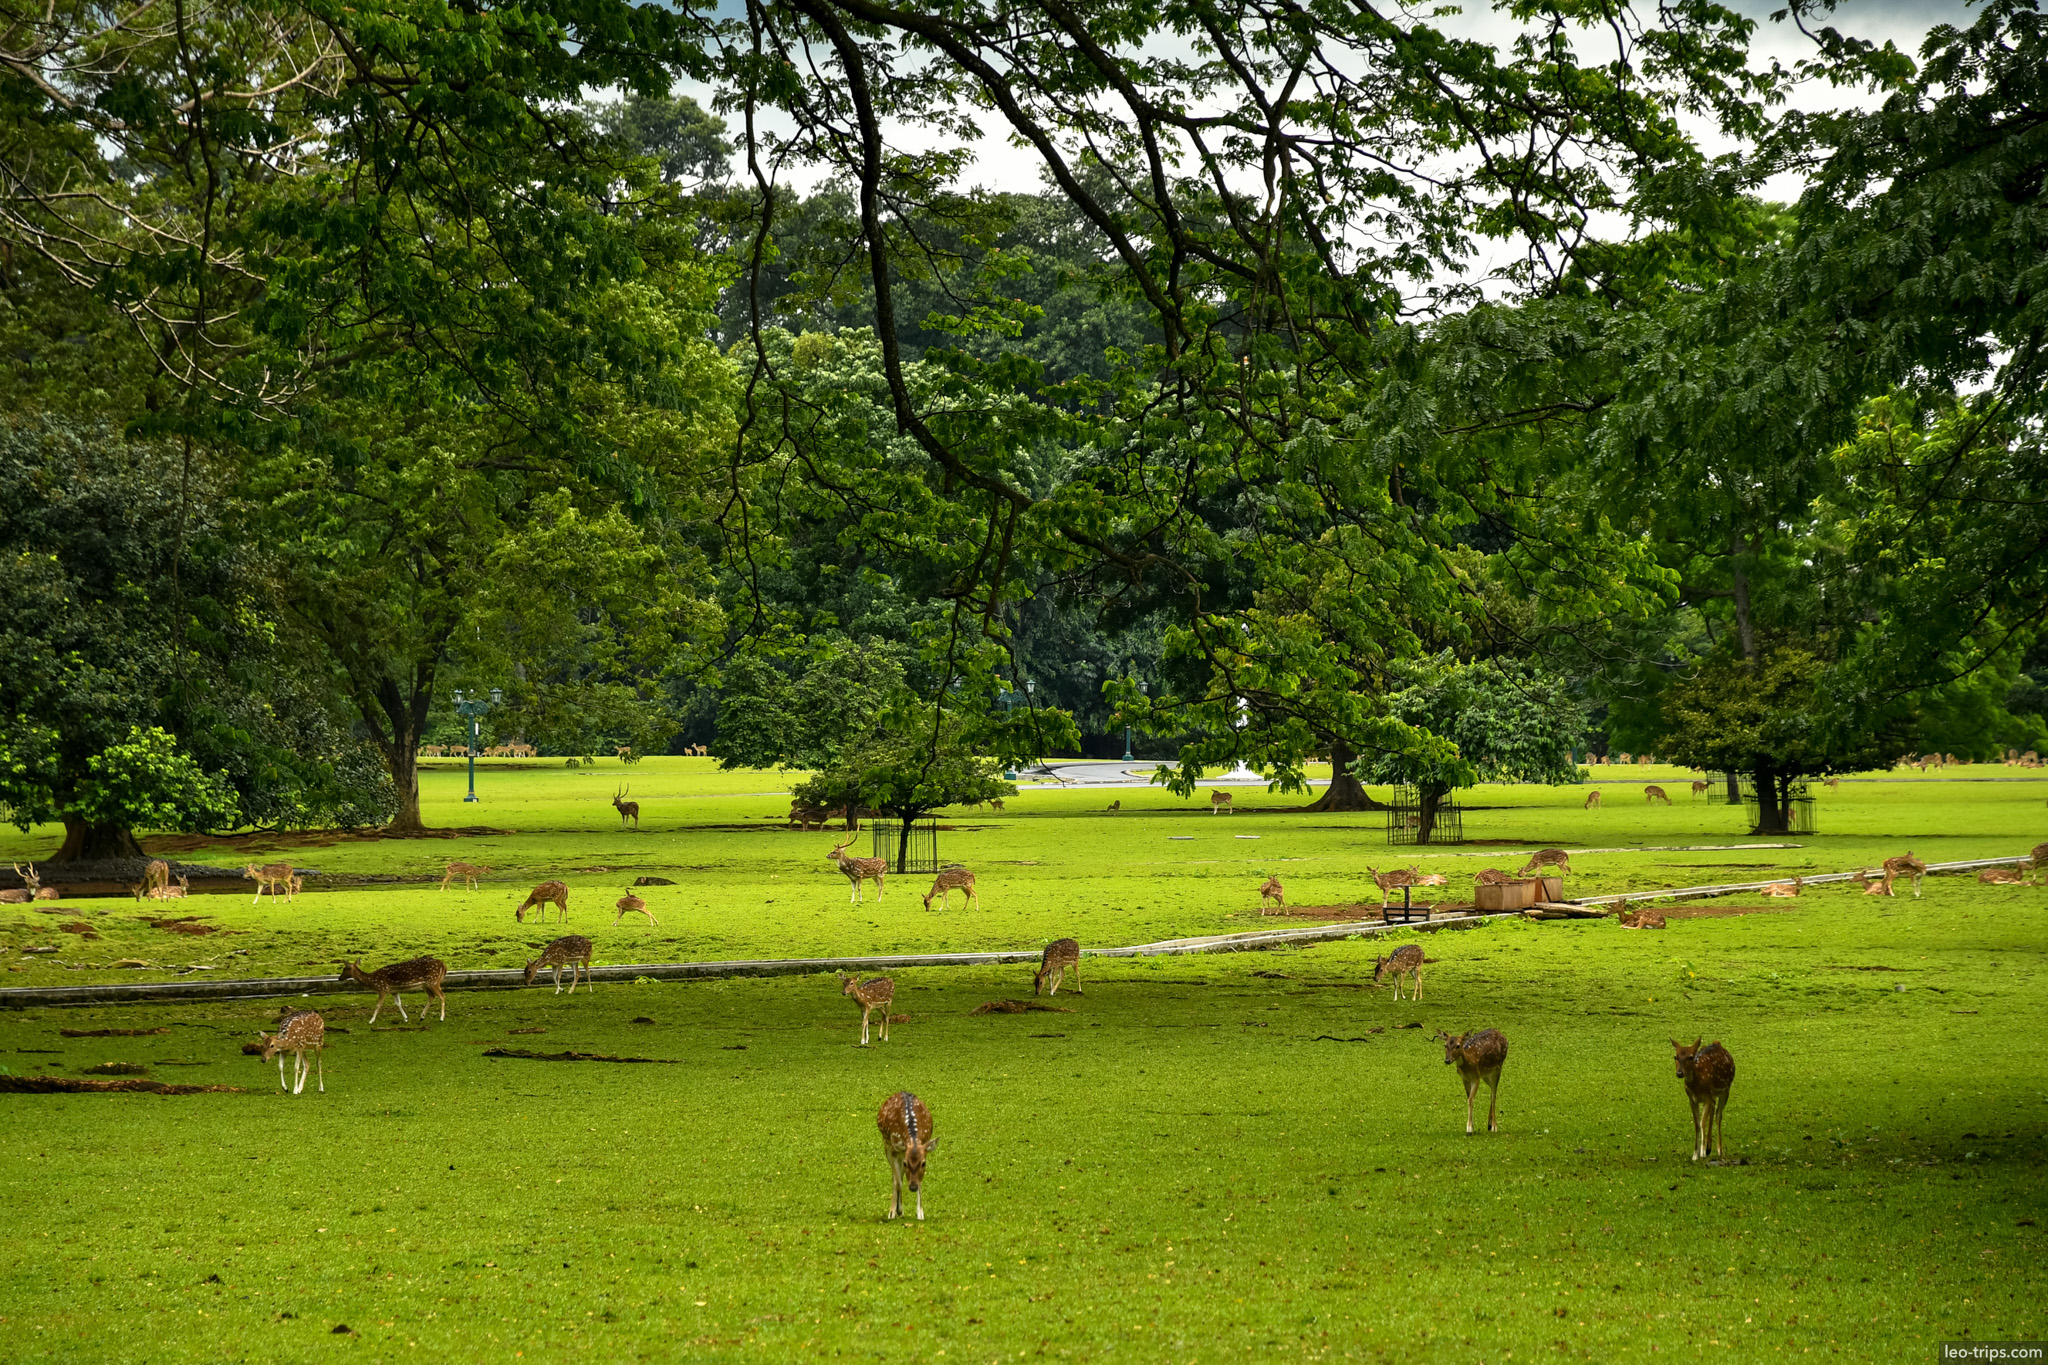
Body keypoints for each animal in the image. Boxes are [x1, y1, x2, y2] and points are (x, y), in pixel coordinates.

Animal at [877, 1091, 937, 1221]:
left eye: (923, 1163)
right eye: (906, 1163)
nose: (913, 1187)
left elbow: (918, 1180)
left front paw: (920, 1213)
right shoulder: (892, 1150)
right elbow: (897, 1181)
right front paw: (893, 1212)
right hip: (889, 1145)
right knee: (896, 1177)